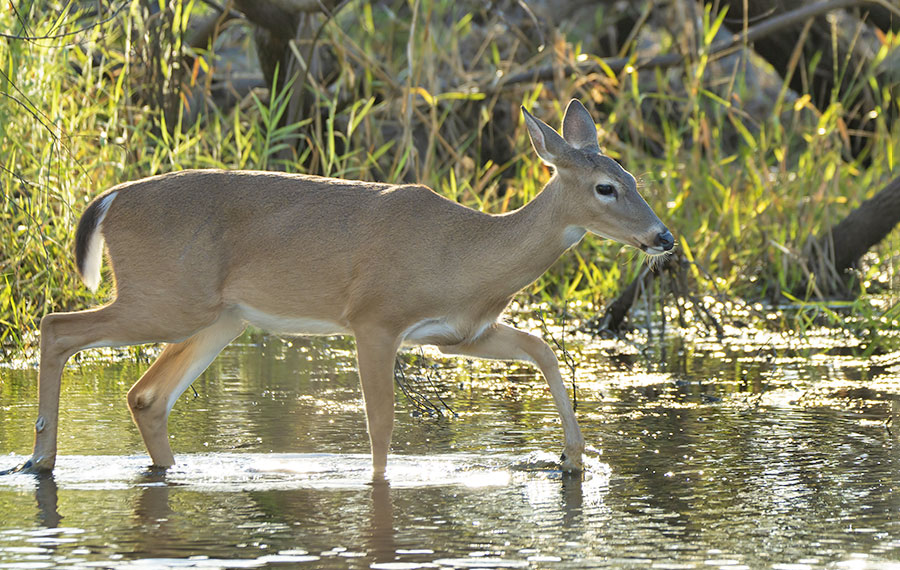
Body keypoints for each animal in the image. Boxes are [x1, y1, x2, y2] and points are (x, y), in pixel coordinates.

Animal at [10, 100, 672, 478]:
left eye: (635, 177)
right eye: (606, 187)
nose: (663, 237)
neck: (467, 252)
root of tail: (110, 199)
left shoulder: (457, 335)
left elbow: (543, 348)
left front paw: (574, 458)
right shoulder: (374, 318)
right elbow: (380, 424)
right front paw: (377, 486)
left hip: (219, 317)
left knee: (146, 396)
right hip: (164, 299)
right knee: (56, 327)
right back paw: (39, 459)